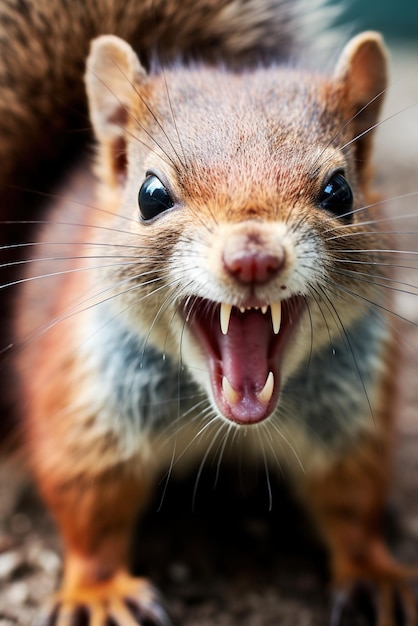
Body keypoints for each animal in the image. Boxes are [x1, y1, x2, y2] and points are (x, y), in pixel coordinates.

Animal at [1, 0, 416, 620]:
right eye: (150, 195)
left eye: (340, 193)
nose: (252, 257)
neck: (228, 421)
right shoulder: (86, 409)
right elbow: (88, 505)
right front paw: (98, 590)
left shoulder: (351, 422)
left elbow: (353, 502)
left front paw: (374, 570)